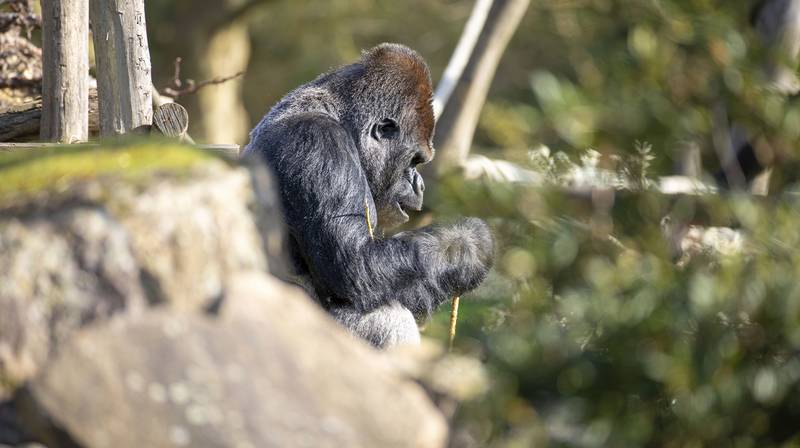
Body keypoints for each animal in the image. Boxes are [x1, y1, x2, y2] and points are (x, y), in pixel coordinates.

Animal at [243, 43, 494, 348]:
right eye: (415, 161)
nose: (421, 185)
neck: (338, 116)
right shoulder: (317, 143)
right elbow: (355, 270)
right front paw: (469, 245)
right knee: (387, 316)